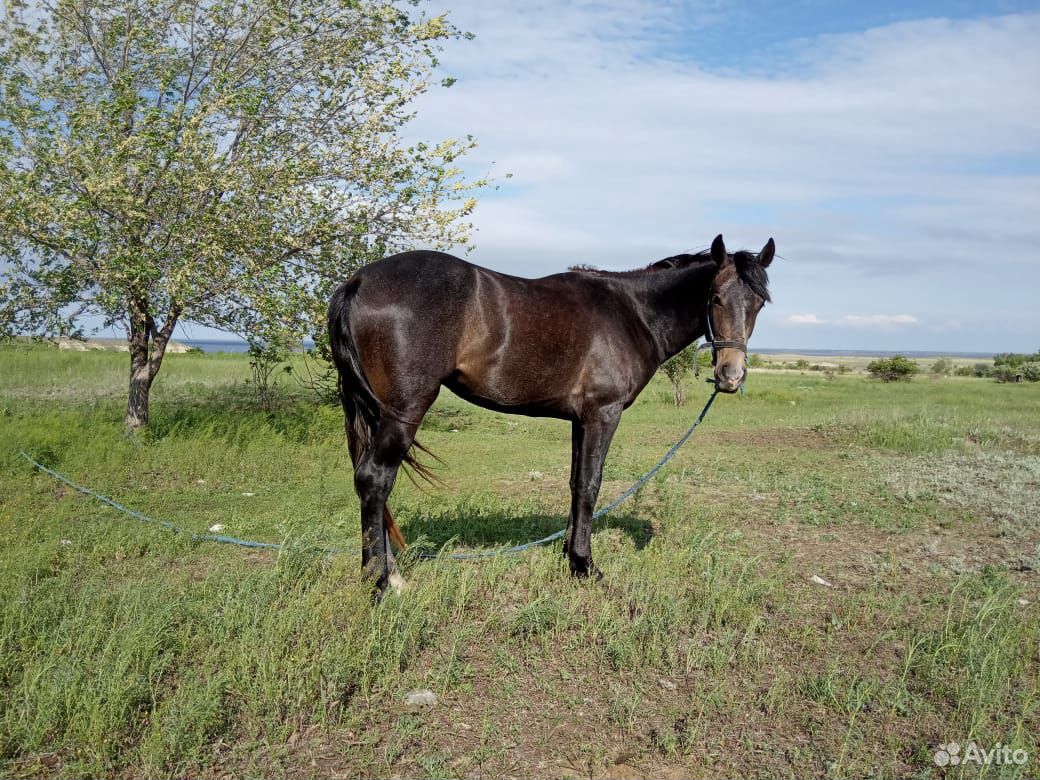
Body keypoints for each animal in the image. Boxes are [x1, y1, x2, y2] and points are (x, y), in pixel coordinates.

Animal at [328, 235, 777, 594]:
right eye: (715, 297)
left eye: (758, 303)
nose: (731, 375)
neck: (632, 312)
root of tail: (358, 281)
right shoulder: (602, 414)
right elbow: (591, 485)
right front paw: (585, 565)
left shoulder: (580, 420)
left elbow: (576, 484)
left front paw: (569, 555)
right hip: (403, 412)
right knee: (375, 480)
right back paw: (380, 580)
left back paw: (390, 571)